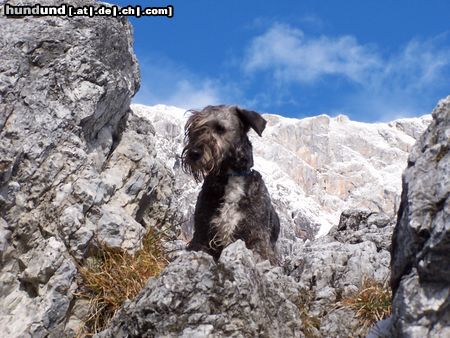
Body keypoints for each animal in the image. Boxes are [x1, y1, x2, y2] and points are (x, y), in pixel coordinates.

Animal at [181, 104, 280, 262]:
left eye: (220, 128)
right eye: (193, 127)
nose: (193, 153)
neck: (231, 177)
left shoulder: (256, 237)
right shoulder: (201, 234)